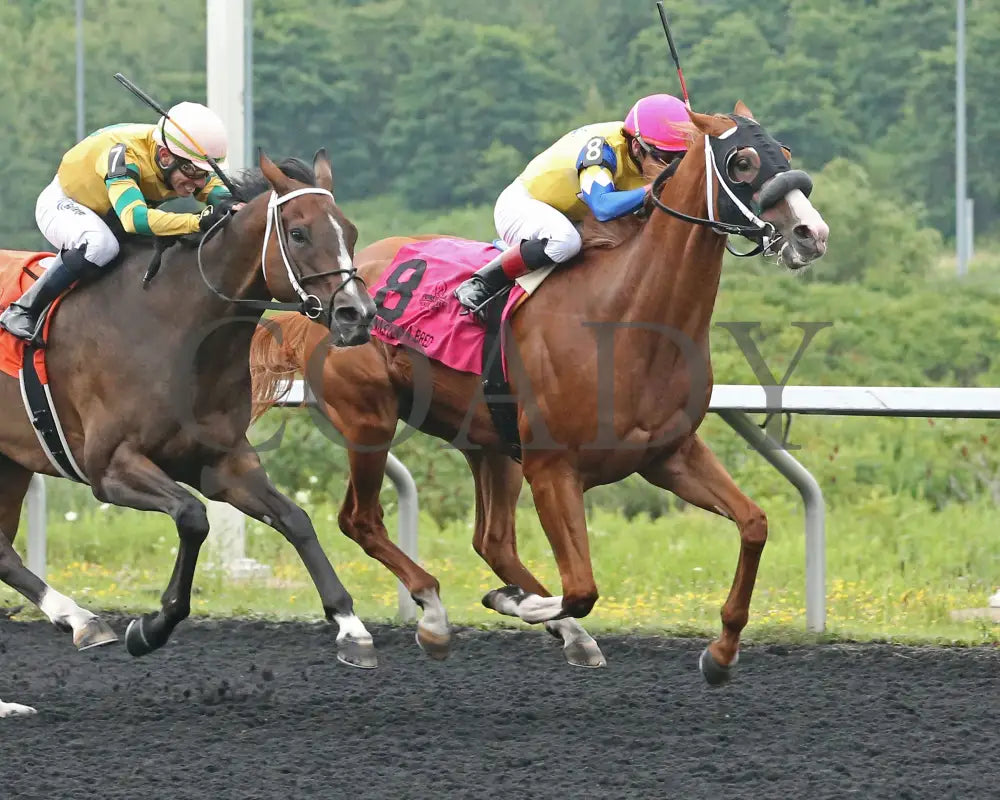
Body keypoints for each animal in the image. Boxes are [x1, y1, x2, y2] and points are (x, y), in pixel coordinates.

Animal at [0, 150, 378, 720]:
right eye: (297, 233)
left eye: (351, 231)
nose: (357, 315)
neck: (176, 329)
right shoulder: (110, 468)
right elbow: (192, 517)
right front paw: (150, 628)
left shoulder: (222, 462)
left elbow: (296, 520)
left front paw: (351, 629)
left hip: (10, 462)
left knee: (1, 552)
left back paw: (75, 627)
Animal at [248, 103, 828, 684]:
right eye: (742, 161)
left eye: (786, 152)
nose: (811, 233)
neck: (628, 318)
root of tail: (333, 298)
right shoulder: (553, 468)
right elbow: (582, 588)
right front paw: (518, 604)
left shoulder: (670, 454)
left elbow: (753, 525)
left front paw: (721, 652)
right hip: (370, 419)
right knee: (361, 519)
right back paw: (431, 615)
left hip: (488, 442)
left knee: (492, 541)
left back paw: (556, 628)